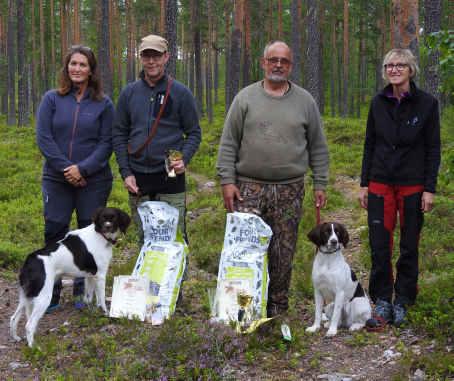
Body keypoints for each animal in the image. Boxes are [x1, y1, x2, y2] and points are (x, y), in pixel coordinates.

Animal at [9, 206, 130, 346]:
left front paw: (90, 312)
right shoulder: (100, 276)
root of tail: (30, 259)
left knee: (13, 318)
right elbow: (101, 300)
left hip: (26, 295)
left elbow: (88, 298)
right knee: (29, 325)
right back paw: (34, 347)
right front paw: (105, 313)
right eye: (102, 218)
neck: (100, 236)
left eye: (113, 218)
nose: (107, 227)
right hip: (43, 296)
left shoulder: (90, 276)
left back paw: (16, 338)